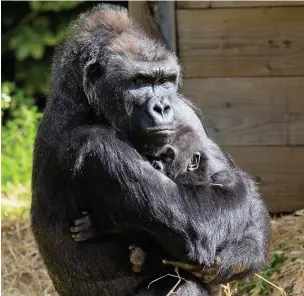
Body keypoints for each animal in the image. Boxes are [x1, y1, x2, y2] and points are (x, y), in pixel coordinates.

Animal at [30, 4, 268, 296]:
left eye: (164, 80)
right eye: (139, 81)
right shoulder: (95, 147)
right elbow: (198, 225)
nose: (162, 107)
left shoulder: (184, 110)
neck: (84, 102)